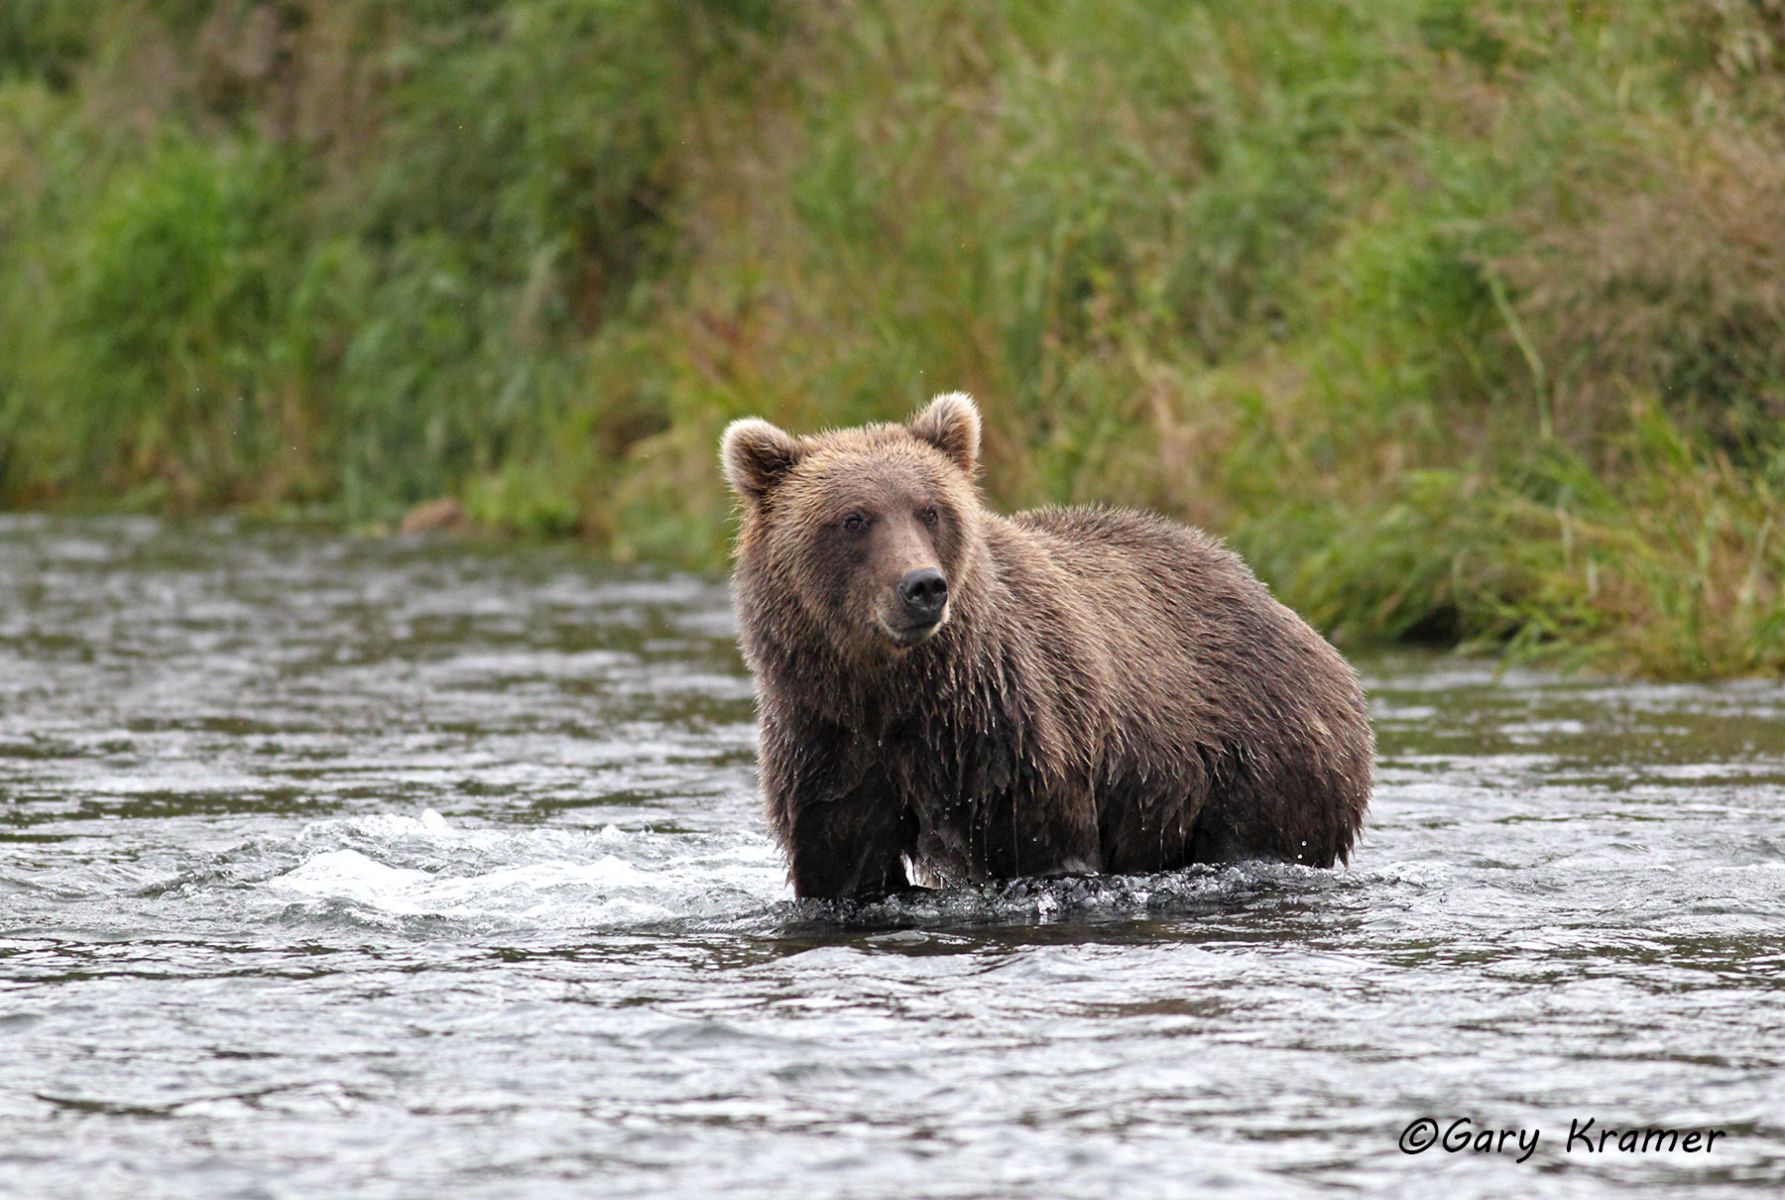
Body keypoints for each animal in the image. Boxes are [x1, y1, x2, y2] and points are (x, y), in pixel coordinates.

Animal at [721, 393, 1372, 900]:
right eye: (854, 518)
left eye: (930, 510)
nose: (923, 587)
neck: (899, 693)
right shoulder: (828, 742)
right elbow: (841, 861)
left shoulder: (1014, 733)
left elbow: (1046, 848)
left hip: (1259, 754)